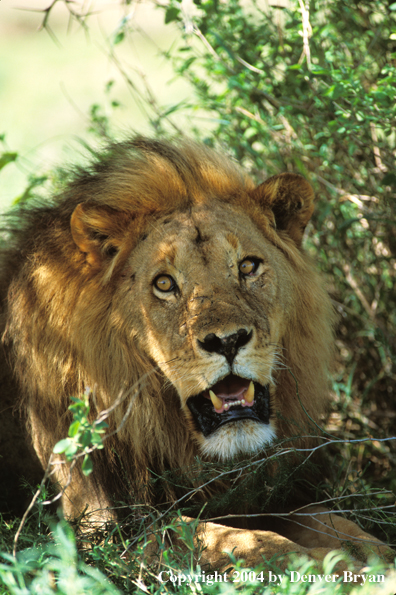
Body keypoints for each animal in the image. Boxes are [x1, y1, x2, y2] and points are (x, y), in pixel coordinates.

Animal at [0, 137, 390, 572]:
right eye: (164, 284)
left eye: (248, 266)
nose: (228, 341)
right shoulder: (107, 526)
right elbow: (239, 541)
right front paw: (322, 566)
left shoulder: (270, 497)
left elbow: (334, 522)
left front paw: (372, 556)